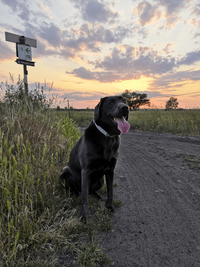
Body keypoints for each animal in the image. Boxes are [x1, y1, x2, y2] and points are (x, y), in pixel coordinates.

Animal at [59, 95, 130, 223]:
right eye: (111, 103)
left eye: (123, 101)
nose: (125, 107)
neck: (107, 137)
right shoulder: (86, 171)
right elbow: (84, 198)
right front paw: (83, 216)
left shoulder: (110, 170)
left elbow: (110, 190)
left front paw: (109, 206)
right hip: (64, 173)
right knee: (77, 191)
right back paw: (72, 197)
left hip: (100, 180)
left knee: (90, 191)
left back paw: (96, 195)